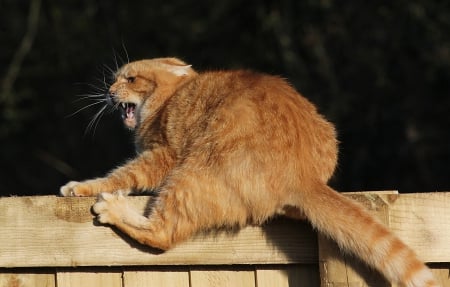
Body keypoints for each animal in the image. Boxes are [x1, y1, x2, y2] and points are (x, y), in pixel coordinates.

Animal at [60, 57, 440, 286]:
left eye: (131, 78)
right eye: (116, 79)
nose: (109, 91)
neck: (171, 98)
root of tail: (304, 175)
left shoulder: (162, 156)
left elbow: (121, 175)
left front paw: (82, 187)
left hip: (189, 173)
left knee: (161, 234)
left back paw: (114, 208)